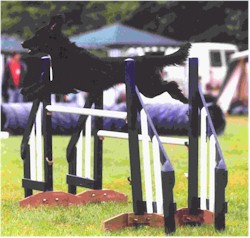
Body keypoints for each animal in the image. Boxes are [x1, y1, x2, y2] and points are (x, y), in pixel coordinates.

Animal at [21, 15, 190, 102]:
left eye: (37, 35)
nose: (23, 43)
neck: (63, 54)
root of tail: (144, 57)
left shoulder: (65, 84)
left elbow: (45, 84)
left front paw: (30, 94)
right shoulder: (60, 82)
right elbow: (41, 82)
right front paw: (26, 90)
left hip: (148, 88)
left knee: (171, 84)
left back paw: (183, 98)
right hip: (147, 87)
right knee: (168, 84)